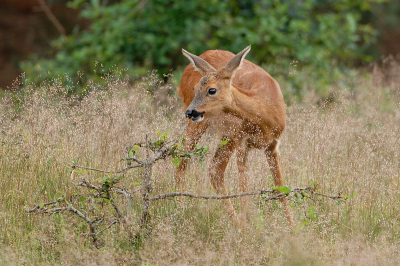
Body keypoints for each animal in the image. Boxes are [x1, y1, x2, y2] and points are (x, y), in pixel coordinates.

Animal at [175, 45, 294, 227]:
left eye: (212, 90)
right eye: (196, 89)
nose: (190, 112)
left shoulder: (272, 145)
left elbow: (281, 189)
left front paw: (294, 229)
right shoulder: (242, 142)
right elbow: (243, 192)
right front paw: (245, 232)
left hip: (227, 135)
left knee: (214, 169)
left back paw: (234, 223)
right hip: (202, 127)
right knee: (181, 165)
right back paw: (182, 213)